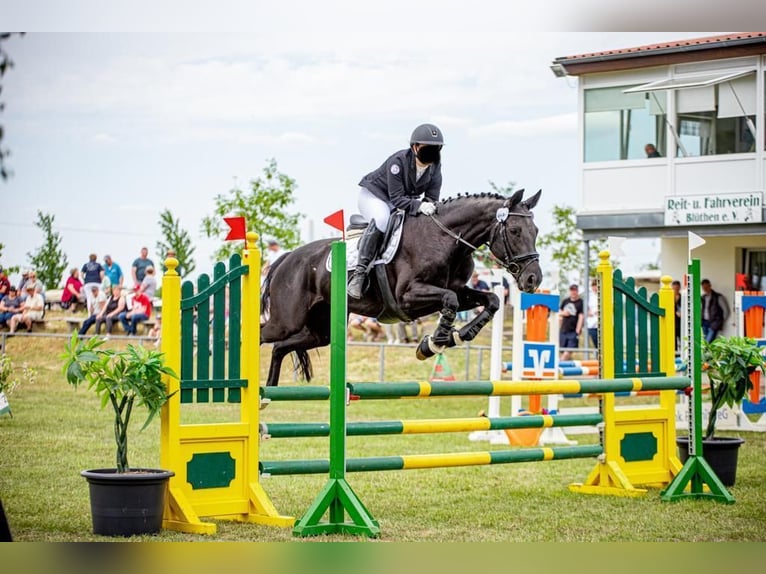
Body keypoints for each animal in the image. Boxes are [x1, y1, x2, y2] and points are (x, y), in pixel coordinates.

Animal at [260, 190, 544, 388]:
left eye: (536, 230)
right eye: (515, 230)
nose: (533, 279)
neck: (445, 239)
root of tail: (286, 258)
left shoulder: (460, 290)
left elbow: (491, 300)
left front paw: (458, 335)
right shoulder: (408, 297)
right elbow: (450, 300)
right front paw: (434, 343)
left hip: (320, 330)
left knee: (279, 347)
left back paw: (268, 395)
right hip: (287, 321)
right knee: (262, 334)